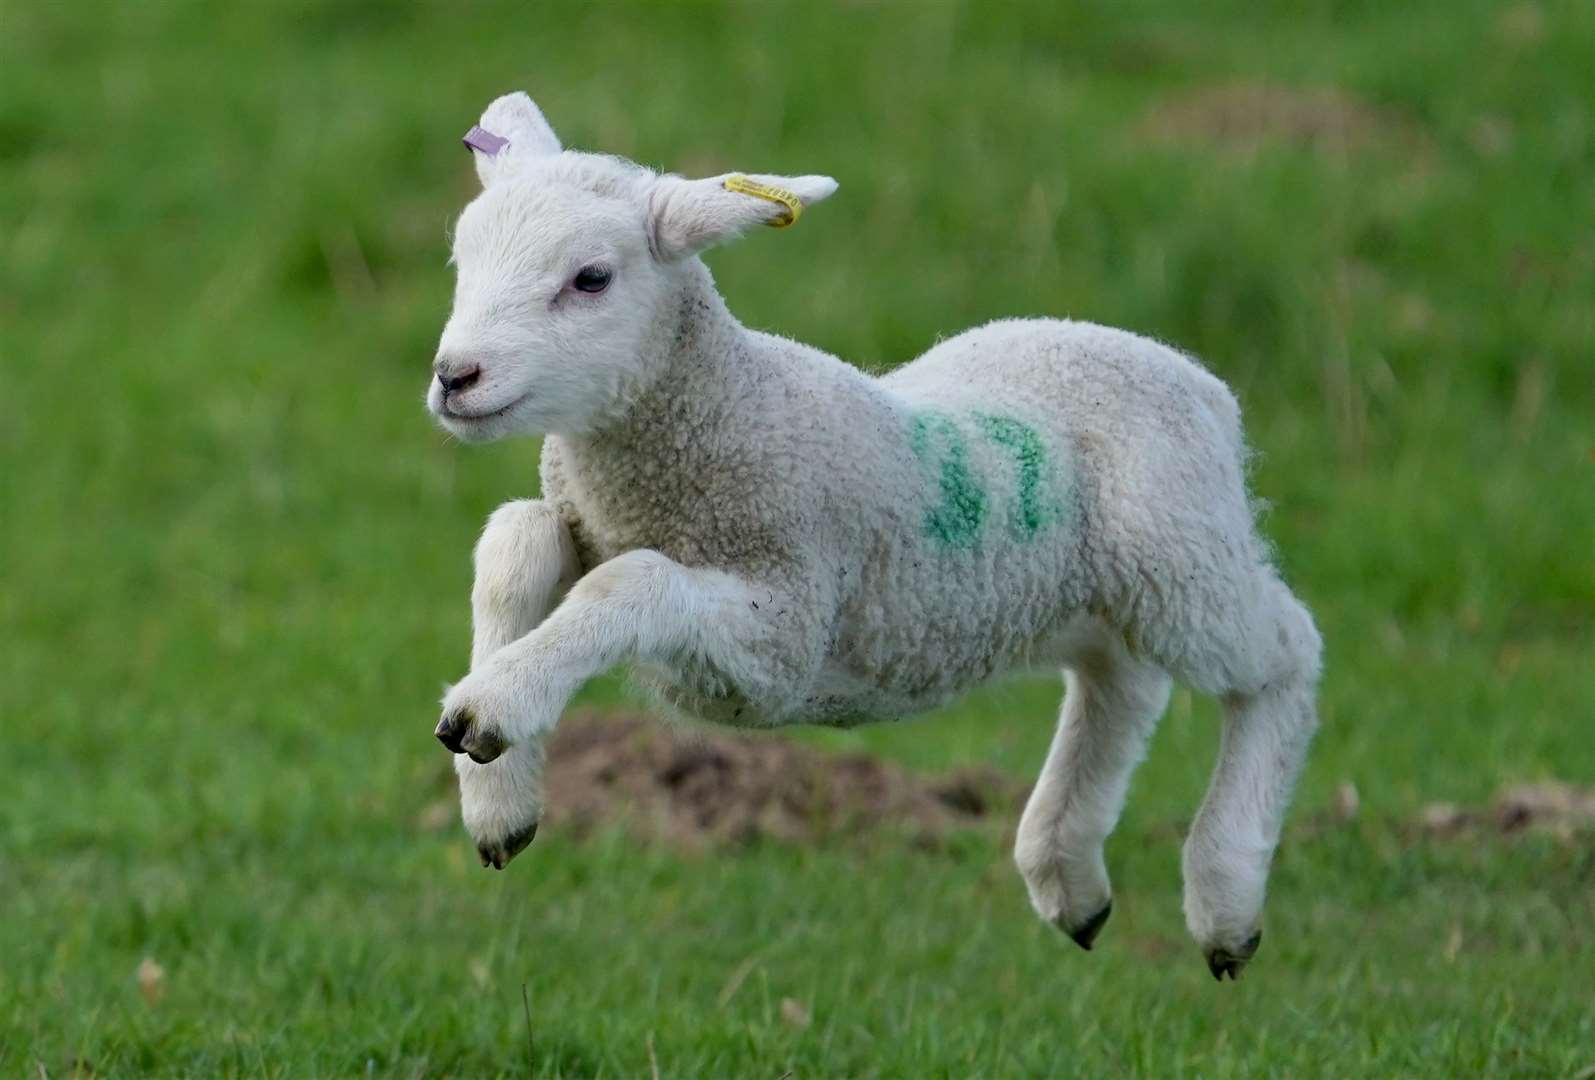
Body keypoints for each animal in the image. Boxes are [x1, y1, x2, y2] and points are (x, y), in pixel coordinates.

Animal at [424, 90, 1320, 976]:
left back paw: (1224, 897)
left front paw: (496, 704)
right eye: (461, 262)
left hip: (1180, 559)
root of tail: (1197, 380)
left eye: (591, 278)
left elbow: (631, 580)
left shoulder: (782, 641)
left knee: (1284, 652)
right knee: (1120, 681)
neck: (725, 410)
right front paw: (494, 791)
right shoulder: (591, 524)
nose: (454, 378)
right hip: (1079, 591)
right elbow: (514, 541)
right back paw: (1069, 879)